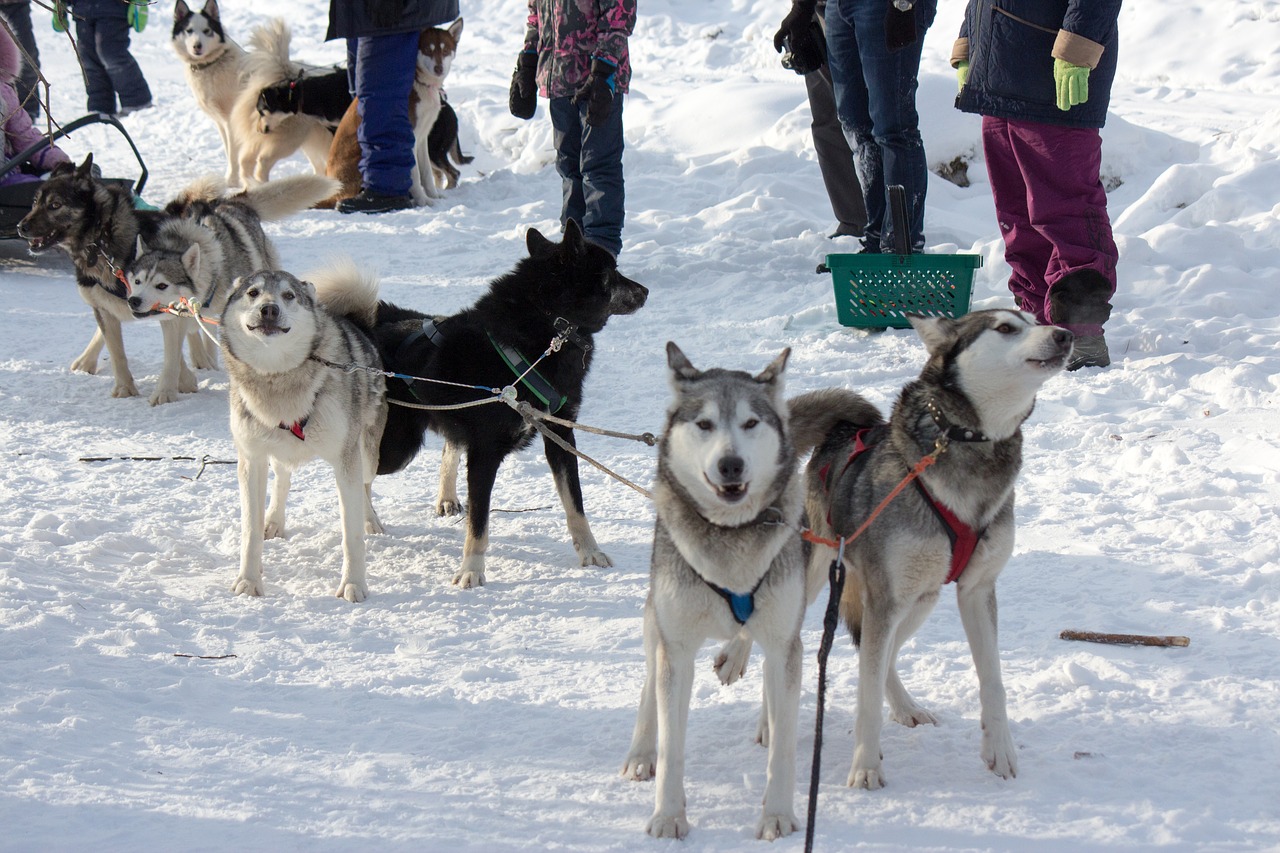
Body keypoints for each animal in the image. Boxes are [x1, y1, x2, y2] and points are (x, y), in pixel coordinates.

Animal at [320, 18, 465, 207]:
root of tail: (334, 191)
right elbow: (414, 175)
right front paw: (423, 200)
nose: (438, 68)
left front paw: (434, 196)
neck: (419, 82)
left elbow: (426, 173)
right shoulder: (410, 138)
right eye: (428, 50)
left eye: (446, 50)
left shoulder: (423, 138)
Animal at [373, 220, 645, 584]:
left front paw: (590, 552)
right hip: (395, 448)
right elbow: (479, 523)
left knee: (446, 447)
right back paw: (367, 521)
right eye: (612, 273)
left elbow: (575, 504)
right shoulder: (485, 453)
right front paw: (471, 571)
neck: (549, 332)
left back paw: (444, 498)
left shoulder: (561, 437)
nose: (645, 291)